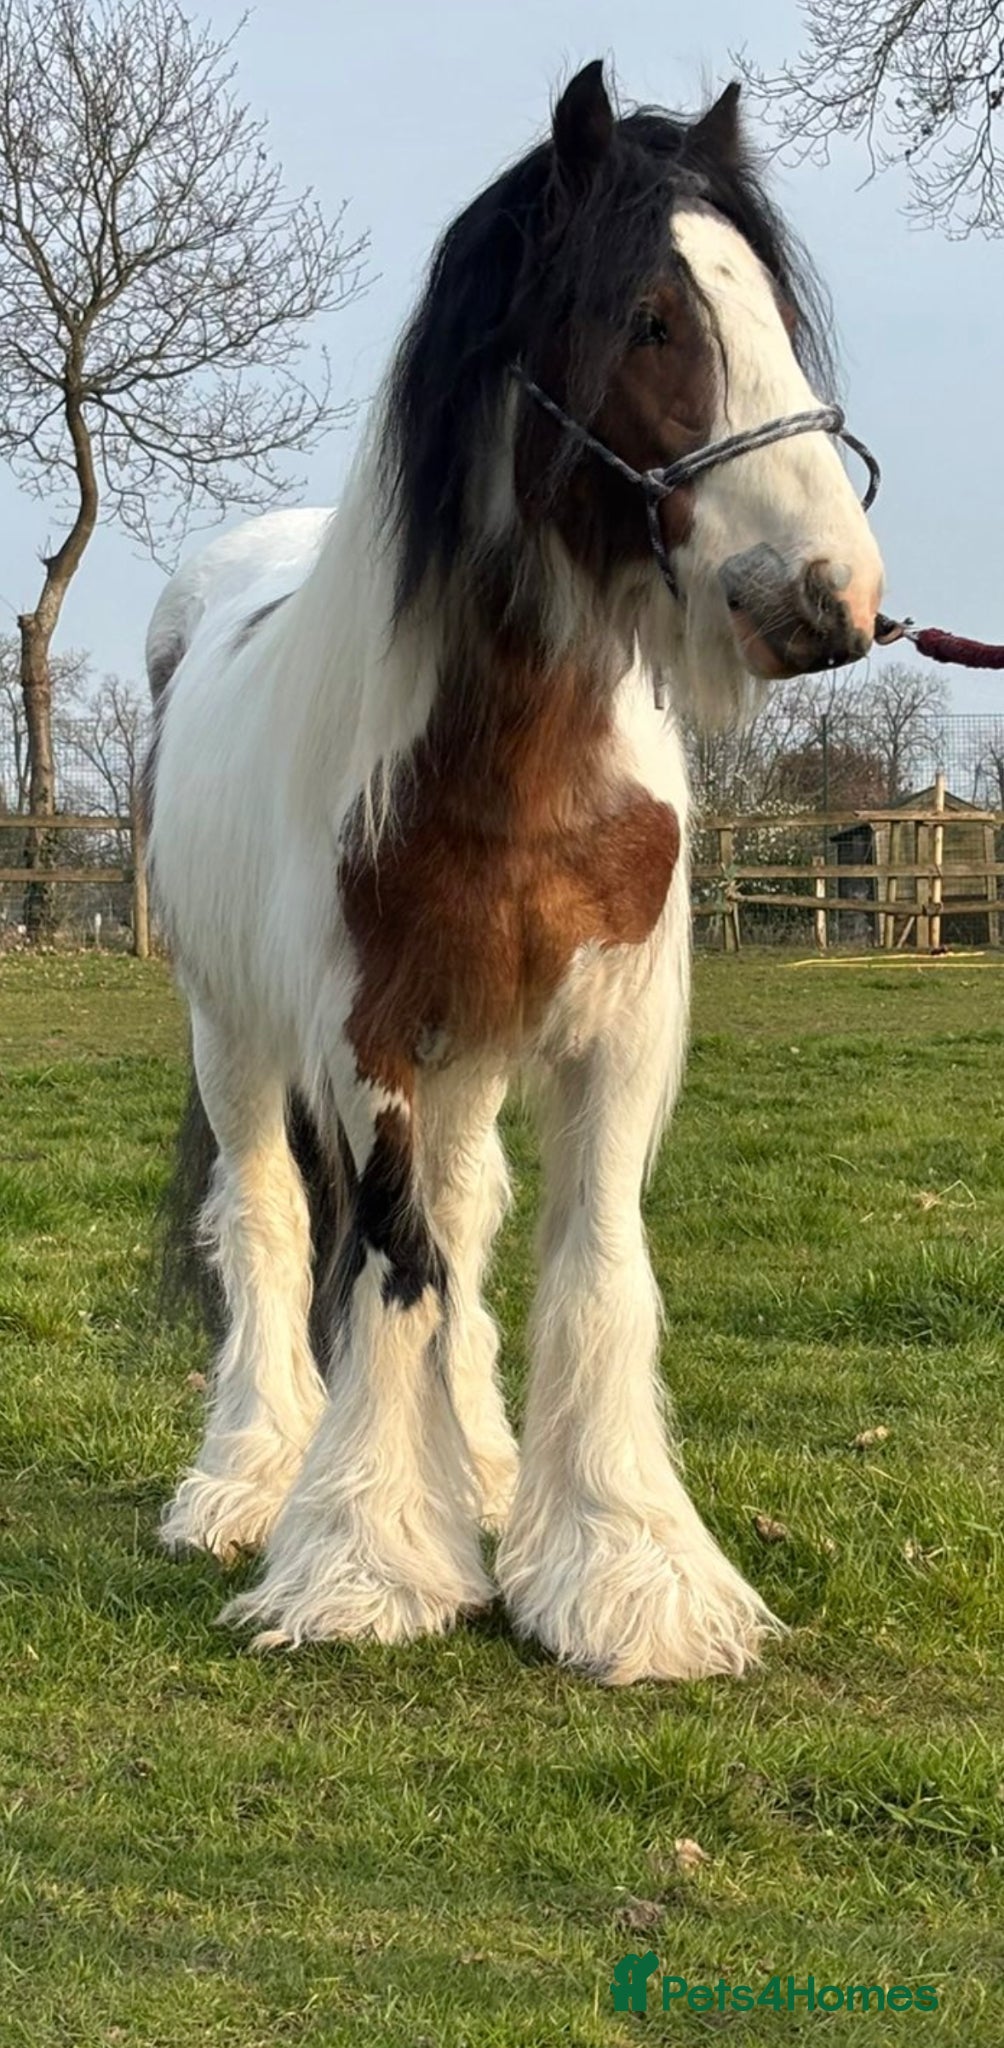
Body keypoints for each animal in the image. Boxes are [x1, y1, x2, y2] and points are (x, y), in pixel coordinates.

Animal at [144, 62, 884, 1684]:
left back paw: (477, 1466)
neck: (520, 761)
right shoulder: (367, 1035)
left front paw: (624, 1572)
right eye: (652, 319)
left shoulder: (610, 1028)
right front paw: (364, 1564)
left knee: (471, 1212)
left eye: (770, 310)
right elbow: (391, 1260)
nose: (830, 598)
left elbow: (588, 1263)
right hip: (233, 1034)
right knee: (272, 1222)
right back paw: (247, 1480)